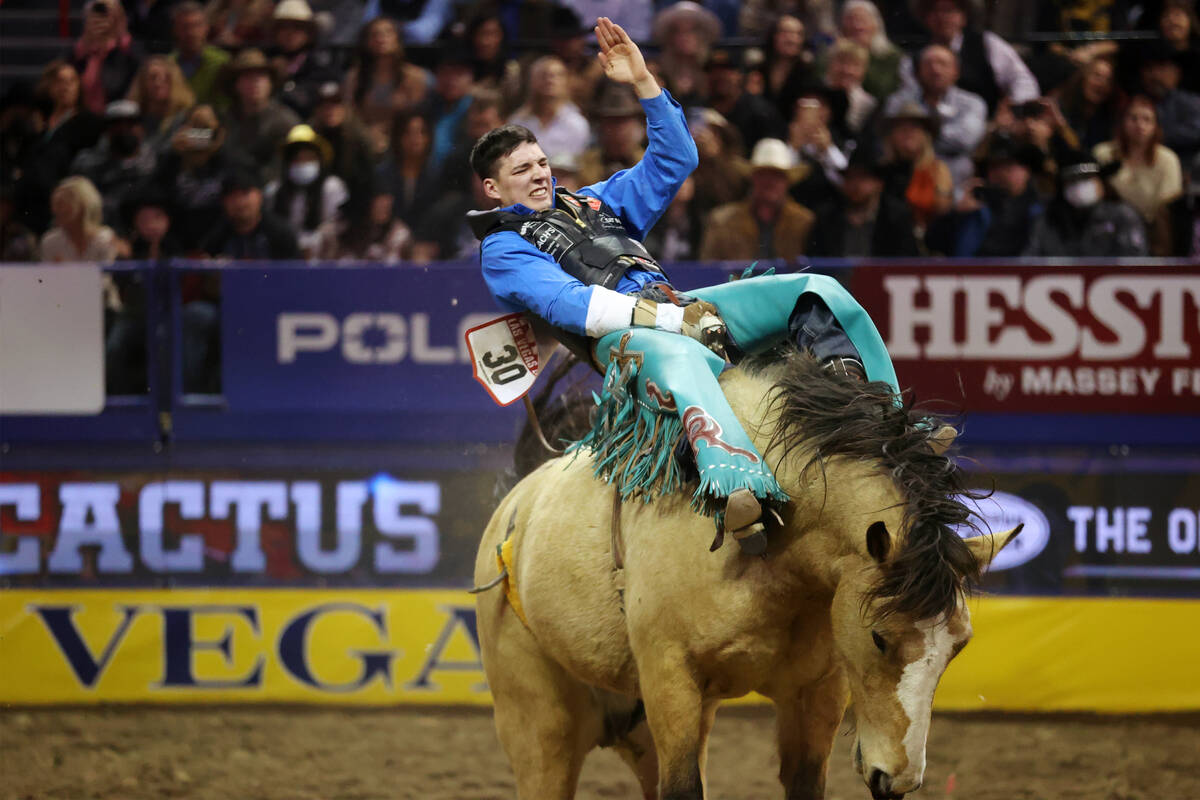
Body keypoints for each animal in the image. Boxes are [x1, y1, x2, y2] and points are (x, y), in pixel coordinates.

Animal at [472, 352, 1017, 800]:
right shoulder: (671, 683)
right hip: (539, 730)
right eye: (879, 638)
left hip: (634, 728)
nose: (898, 780)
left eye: (959, 645)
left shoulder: (816, 692)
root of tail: (515, 509)